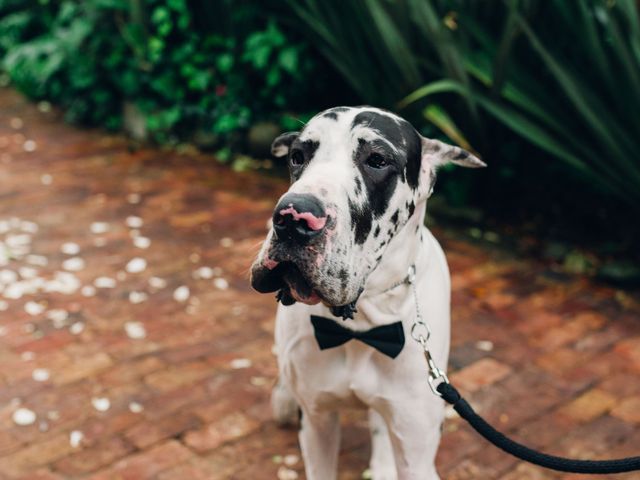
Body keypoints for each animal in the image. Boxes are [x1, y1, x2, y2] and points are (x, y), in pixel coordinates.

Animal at [250, 108, 484, 480]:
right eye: (297, 156)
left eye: (377, 160)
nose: (293, 218)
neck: (363, 325)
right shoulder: (316, 423)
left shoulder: (416, 450)